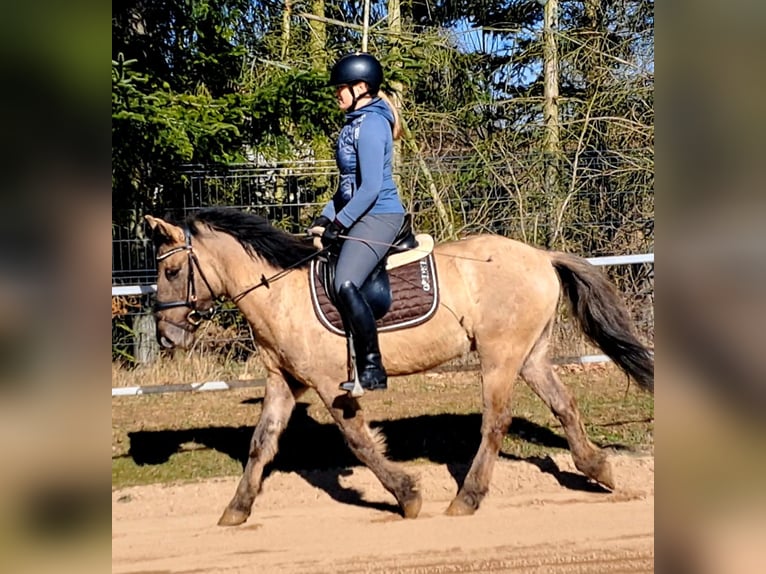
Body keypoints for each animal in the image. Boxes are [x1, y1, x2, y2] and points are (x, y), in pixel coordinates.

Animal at [145, 207, 653, 525]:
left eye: (171, 272)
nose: (167, 336)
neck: (279, 291)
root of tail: (542, 255)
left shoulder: (329, 384)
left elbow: (359, 443)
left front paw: (408, 495)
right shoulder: (284, 381)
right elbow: (260, 444)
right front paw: (236, 509)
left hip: (500, 357)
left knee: (496, 421)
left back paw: (467, 499)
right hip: (530, 356)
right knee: (564, 404)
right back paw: (598, 470)